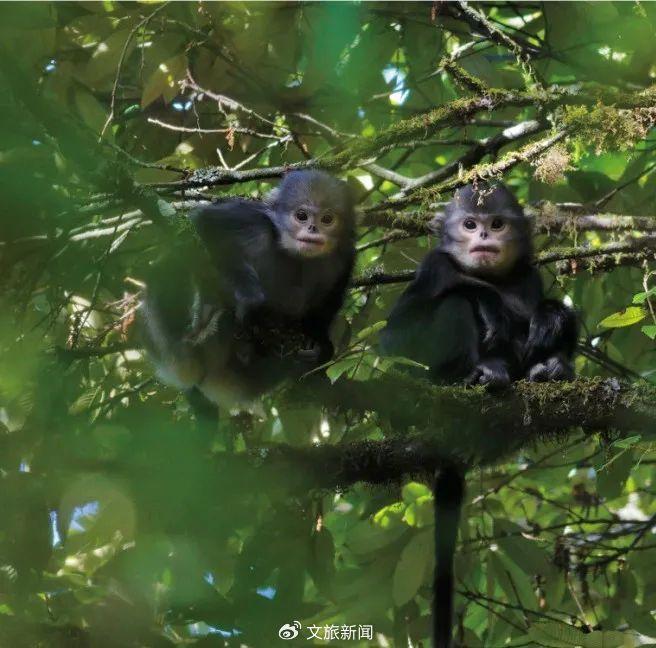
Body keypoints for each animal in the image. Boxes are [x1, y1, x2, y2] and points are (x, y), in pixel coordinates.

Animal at [140, 170, 356, 412]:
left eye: (327, 219)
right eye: (302, 215)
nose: (313, 229)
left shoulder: (345, 256)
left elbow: (327, 307)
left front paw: (320, 347)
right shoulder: (249, 219)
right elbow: (201, 225)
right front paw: (249, 298)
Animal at [380, 182, 578, 648]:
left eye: (497, 224)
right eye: (469, 224)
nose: (484, 237)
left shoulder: (528, 275)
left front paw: (553, 315)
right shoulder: (434, 267)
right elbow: (394, 345)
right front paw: (487, 300)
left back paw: (550, 369)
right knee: (454, 308)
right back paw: (481, 375)